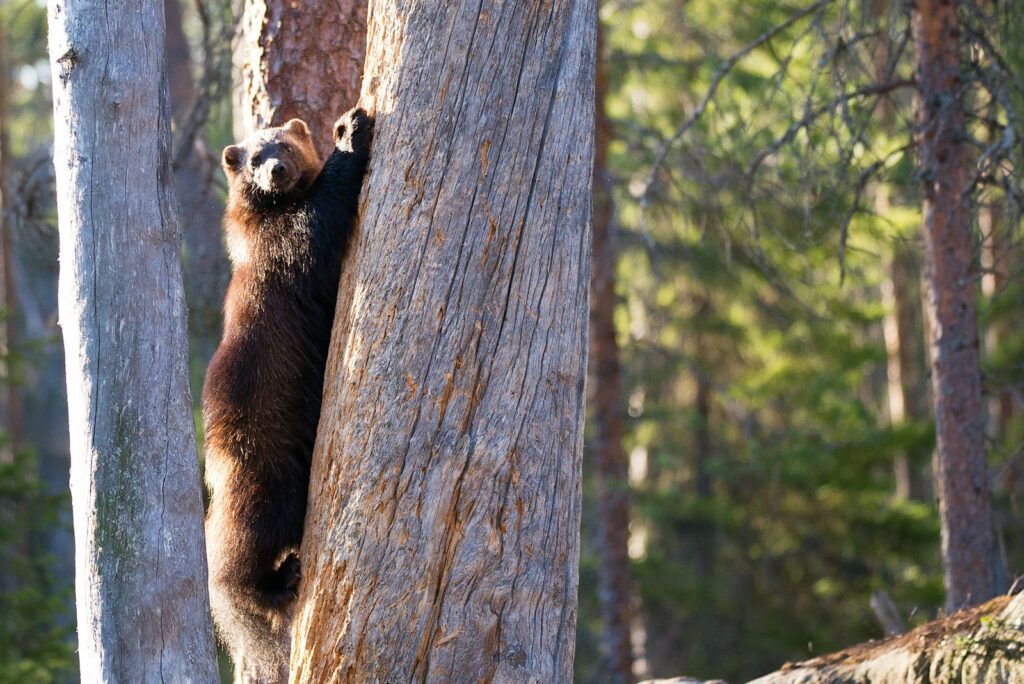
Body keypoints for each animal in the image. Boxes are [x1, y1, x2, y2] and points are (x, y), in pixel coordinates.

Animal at [202, 108, 372, 679]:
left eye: (284, 145)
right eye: (255, 155)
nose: (276, 171)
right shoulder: (290, 242)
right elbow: (322, 212)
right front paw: (351, 132)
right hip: (265, 474)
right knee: (233, 555)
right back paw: (276, 583)